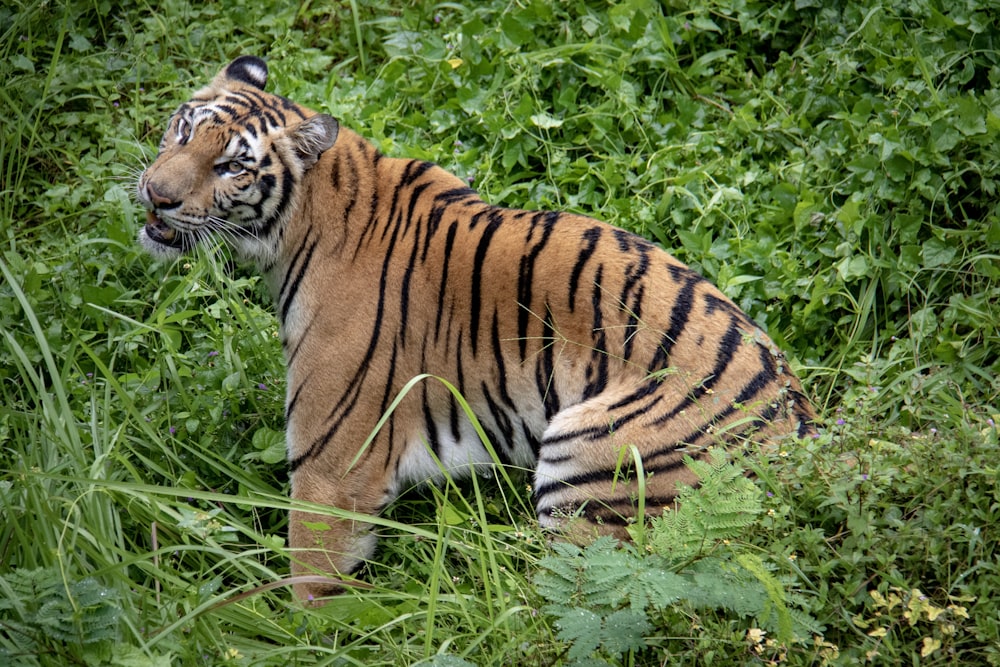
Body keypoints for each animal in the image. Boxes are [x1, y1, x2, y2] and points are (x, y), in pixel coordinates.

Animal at [139, 54, 812, 604]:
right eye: (182, 130)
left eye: (232, 166)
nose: (154, 195)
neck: (297, 226)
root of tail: (811, 444)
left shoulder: (330, 466)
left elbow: (308, 583)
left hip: (586, 458)